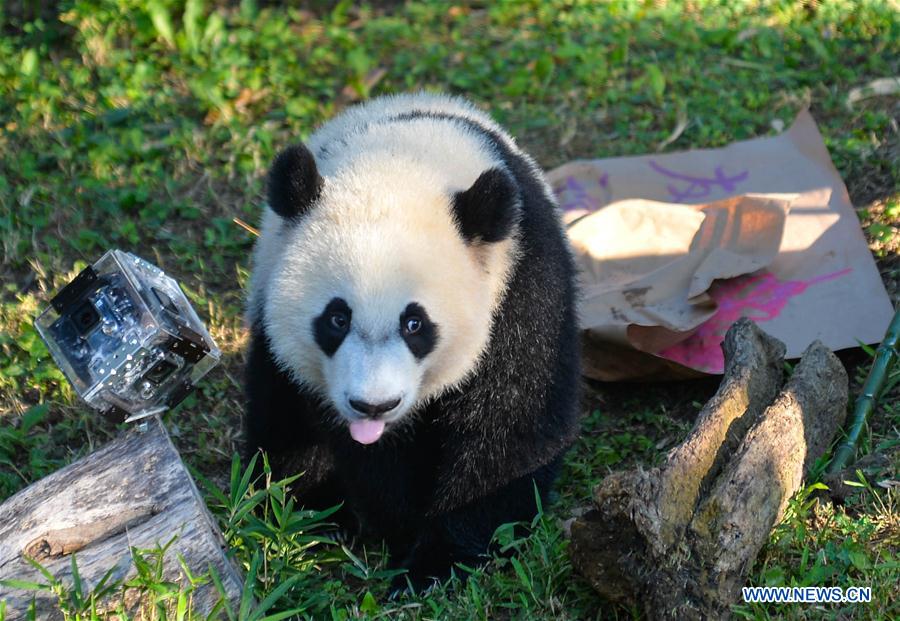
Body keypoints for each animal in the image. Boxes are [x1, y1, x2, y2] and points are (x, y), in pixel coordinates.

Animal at [246, 89, 580, 588]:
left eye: (414, 324)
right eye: (337, 319)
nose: (373, 406)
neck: (403, 159)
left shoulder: (522, 286)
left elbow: (511, 427)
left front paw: (436, 561)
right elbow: (328, 436)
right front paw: (376, 523)